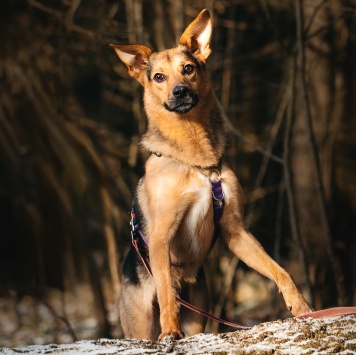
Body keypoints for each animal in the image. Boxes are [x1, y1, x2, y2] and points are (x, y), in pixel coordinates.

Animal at [110, 8, 312, 342]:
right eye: (159, 77)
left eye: (188, 69)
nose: (180, 92)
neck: (197, 162)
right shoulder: (162, 235)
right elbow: (166, 292)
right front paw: (170, 330)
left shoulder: (236, 230)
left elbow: (280, 270)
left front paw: (300, 304)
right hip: (139, 323)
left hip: (198, 313)